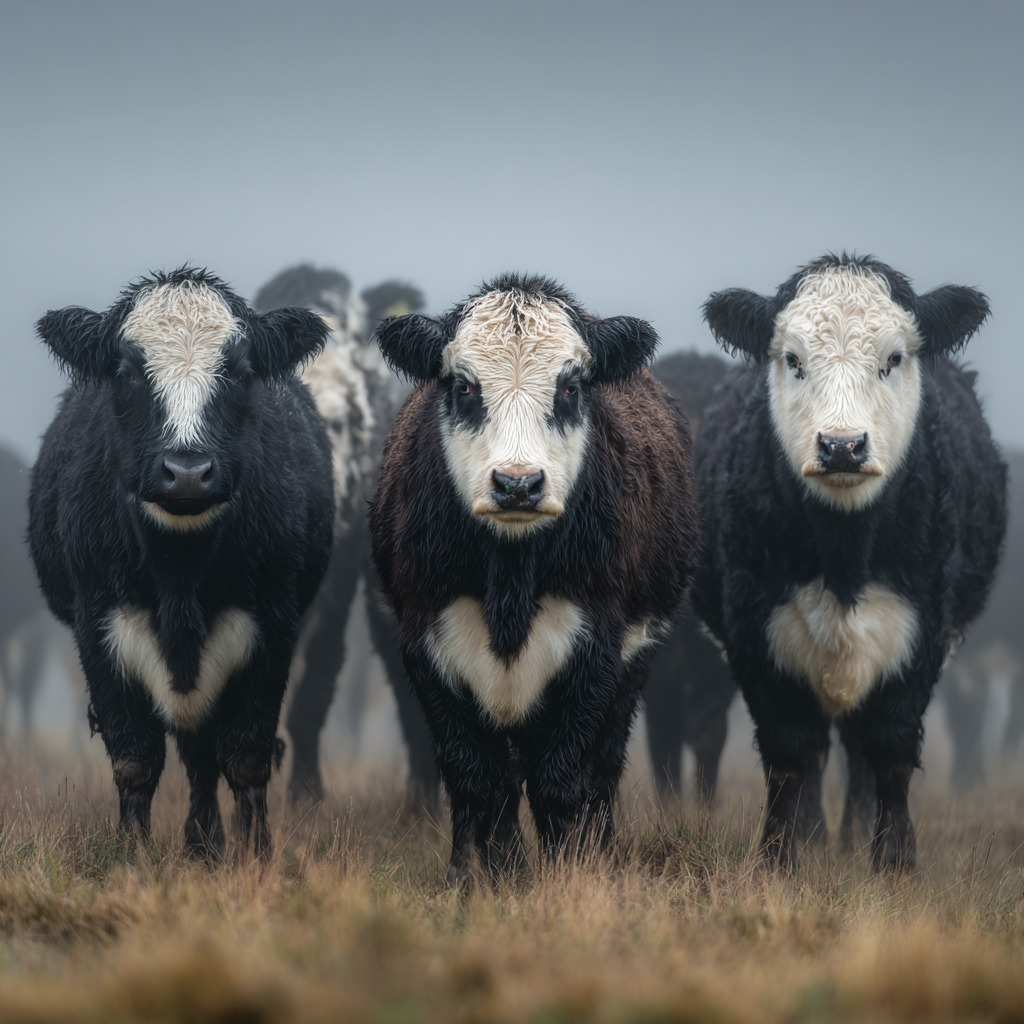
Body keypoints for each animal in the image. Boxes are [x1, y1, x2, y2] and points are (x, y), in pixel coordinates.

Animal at [29, 267, 334, 858]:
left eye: (240, 371)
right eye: (126, 371)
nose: (188, 471)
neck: (180, 573)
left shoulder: (272, 623)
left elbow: (246, 756)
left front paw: (255, 857)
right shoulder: (97, 625)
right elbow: (134, 761)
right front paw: (132, 858)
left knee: (203, 751)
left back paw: (205, 845)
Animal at [368, 273, 699, 883]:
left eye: (568, 389)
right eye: (464, 387)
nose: (517, 483)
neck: (510, 589)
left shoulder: (597, 648)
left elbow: (561, 780)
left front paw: (566, 876)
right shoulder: (425, 645)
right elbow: (474, 777)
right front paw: (474, 879)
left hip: (636, 661)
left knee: (602, 769)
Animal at [692, 253, 1006, 871]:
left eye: (894, 358)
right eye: (793, 359)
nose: (842, 446)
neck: (845, 556)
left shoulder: (921, 631)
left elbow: (890, 749)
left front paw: (894, 864)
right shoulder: (756, 630)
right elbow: (790, 755)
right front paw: (779, 861)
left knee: (858, 749)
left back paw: (854, 838)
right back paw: (817, 837)